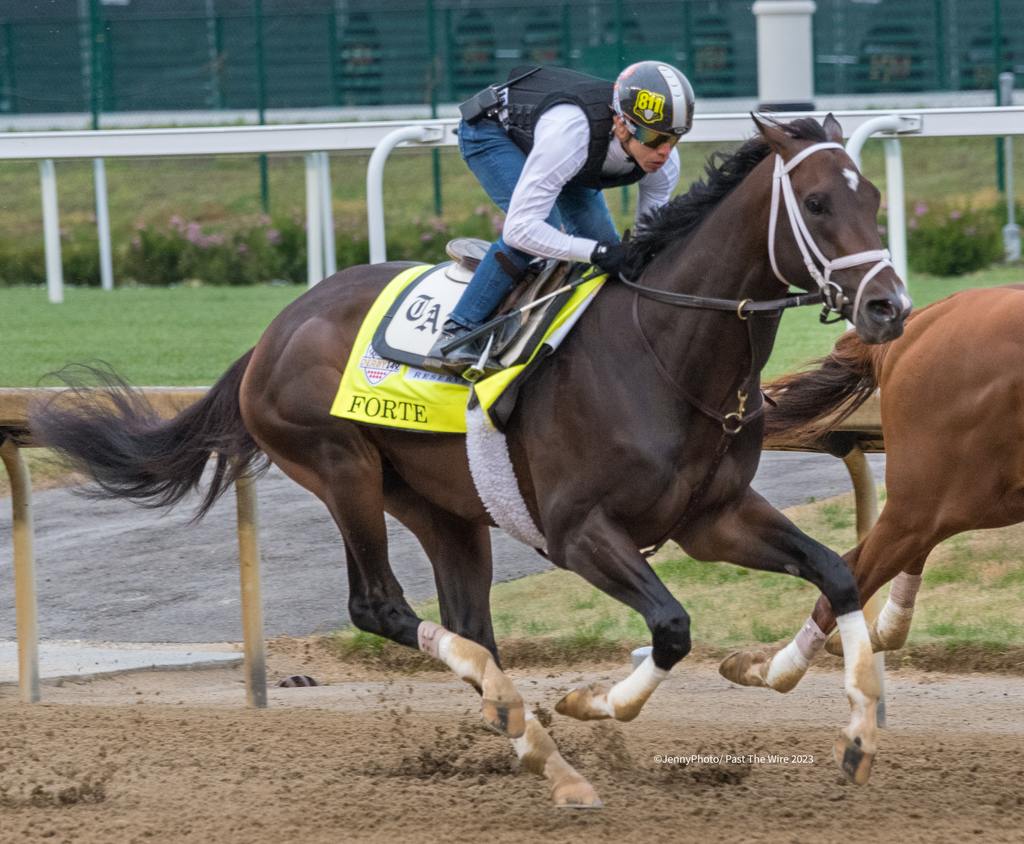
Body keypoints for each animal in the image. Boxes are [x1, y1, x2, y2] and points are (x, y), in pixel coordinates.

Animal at [34, 115, 913, 807]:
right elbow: (670, 628)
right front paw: (594, 702)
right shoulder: (579, 532)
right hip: (342, 469)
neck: (663, 353)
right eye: (817, 203)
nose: (888, 306)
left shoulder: (713, 518)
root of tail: (273, 333)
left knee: (471, 625)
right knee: (380, 607)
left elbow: (837, 573)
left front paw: (852, 730)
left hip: (443, 508)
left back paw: (529, 739)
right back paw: (537, 740)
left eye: (872, 198)